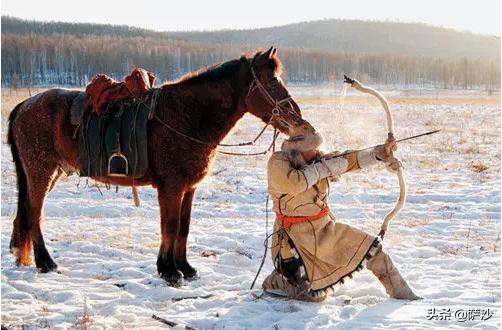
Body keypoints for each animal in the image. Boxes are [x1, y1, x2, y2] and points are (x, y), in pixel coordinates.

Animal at [6, 46, 306, 286]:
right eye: (272, 80)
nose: (297, 118)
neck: (186, 115)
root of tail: (24, 105)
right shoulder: (171, 188)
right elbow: (170, 227)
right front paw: (169, 271)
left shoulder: (188, 189)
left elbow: (183, 227)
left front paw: (185, 267)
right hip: (40, 172)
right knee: (34, 214)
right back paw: (45, 262)